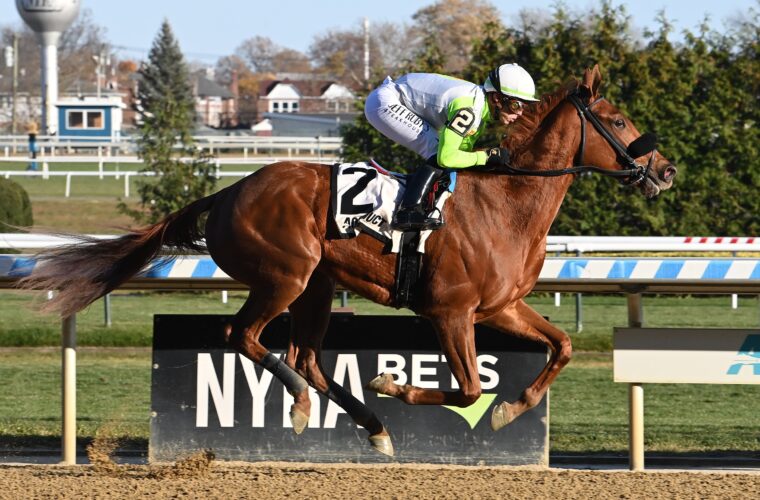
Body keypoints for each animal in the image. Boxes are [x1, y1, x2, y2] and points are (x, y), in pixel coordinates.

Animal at [22, 65, 676, 457]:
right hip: (284, 276)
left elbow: (560, 347)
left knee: (306, 358)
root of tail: (229, 191)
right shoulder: (450, 311)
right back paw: (307, 408)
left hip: (314, 286)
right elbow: (466, 388)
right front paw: (394, 382)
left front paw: (510, 409)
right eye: (619, 121)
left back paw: (373, 427)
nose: (665, 171)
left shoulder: (501, 307)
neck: (506, 203)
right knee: (246, 338)